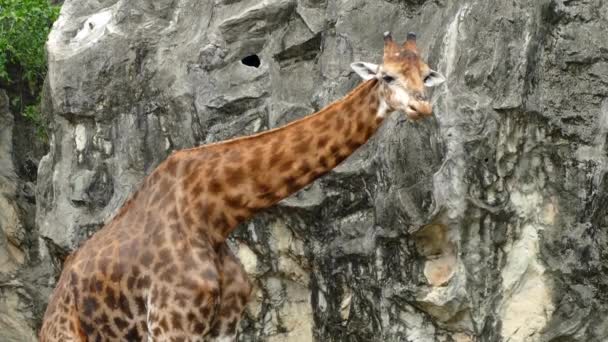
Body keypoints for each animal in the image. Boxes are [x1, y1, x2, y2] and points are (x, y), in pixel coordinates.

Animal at [39, 32, 446, 342]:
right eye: (387, 77)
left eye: (427, 75)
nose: (423, 108)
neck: (214, 214)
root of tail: (54, 301)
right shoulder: (171, 323)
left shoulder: (224, 326)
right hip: (68, 336)